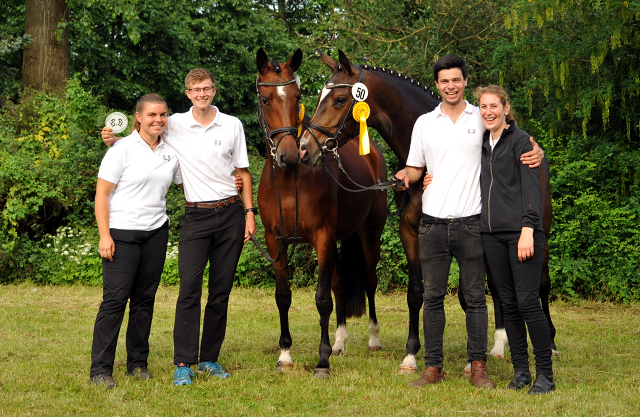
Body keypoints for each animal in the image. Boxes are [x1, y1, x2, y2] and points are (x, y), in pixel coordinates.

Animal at [256, 48, 388, 376]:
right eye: (265, 100)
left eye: (296, 95)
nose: (291, 155)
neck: (291, 181)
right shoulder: (275, 242)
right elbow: (283, 297)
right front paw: (285, 355)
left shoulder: (323, 238)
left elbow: (321, 299)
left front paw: (322, 361)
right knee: (340, 283)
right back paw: (340, 342)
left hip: (369, 234)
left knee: (369, 280)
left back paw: (373, 339)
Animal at [300, 49, 556, 374]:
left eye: (340, 99)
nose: (305, 149)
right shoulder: (413, 234)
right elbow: (416, 293)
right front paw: (411, 355)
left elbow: (466, 296)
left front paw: (472, 361)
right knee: (499, 287)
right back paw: (499, 344)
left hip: (538, 237)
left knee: (540, 283)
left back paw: (545, 343)